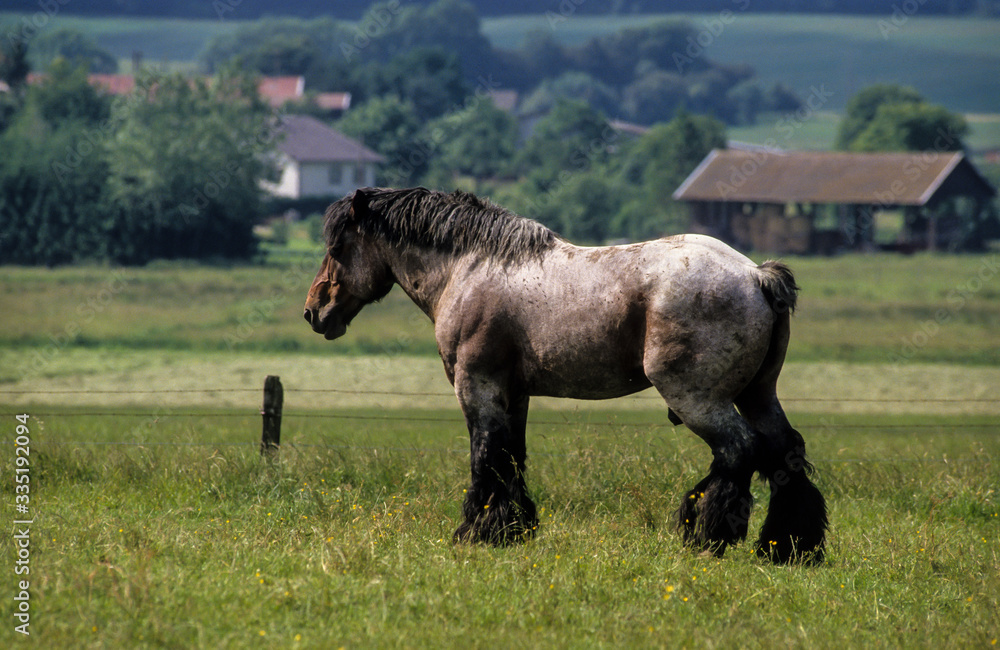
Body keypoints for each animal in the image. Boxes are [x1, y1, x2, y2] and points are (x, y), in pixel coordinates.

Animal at [304, 187, 828, 563]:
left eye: (337, 246)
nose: (314, 312)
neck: (468, 269)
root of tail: (756, 275)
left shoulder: (478, 388)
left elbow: (485, 459)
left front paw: (475, 533)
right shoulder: (514, 395)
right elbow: (510, 459)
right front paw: (511, 531)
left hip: (697, 399)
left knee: (738, 452)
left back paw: (706, 536)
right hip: (757, 394)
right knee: (784, 453)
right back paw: (788, 547)